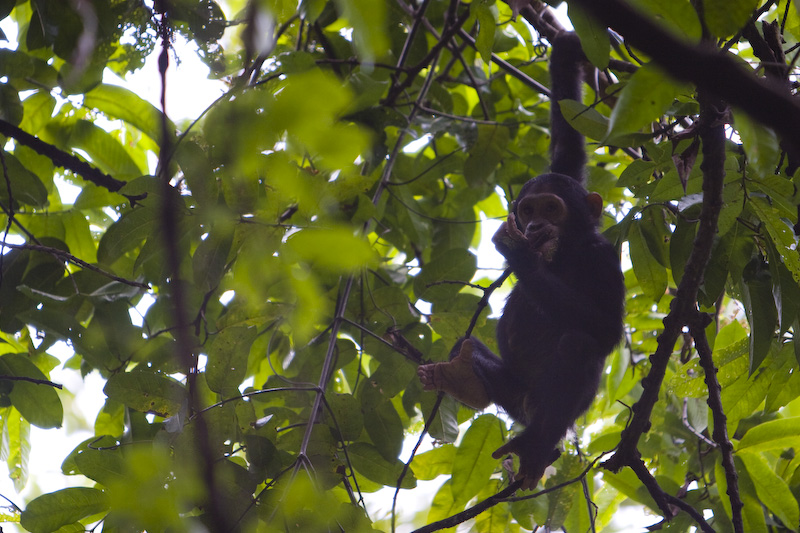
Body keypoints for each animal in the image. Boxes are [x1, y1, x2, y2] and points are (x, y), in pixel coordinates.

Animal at [416, 32, 628, 490]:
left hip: (556, 412)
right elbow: (567, 133)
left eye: (551, 209)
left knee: (577, 346)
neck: (566, 253)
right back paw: (461, 375)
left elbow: (605, 328)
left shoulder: (604, 259)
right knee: (465, 346)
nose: (532, 227)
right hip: (511, 393)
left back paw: (534, 445)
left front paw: (517, 252)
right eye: (528, 209)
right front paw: (569, 48)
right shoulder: (566, 161)